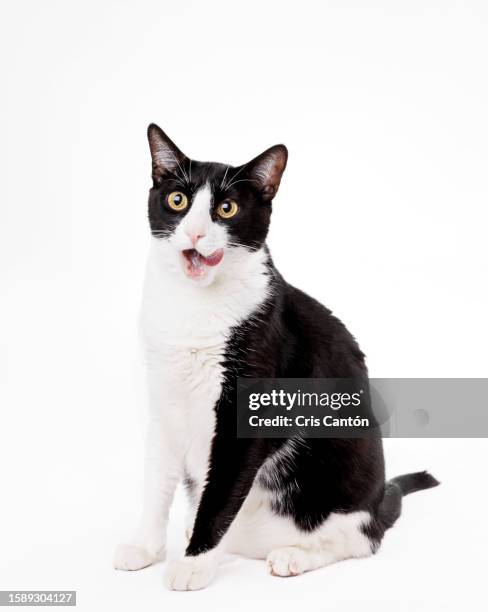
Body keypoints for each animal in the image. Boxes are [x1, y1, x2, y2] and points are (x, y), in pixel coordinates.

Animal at [113, 123, 438, 588]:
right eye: (177, 200)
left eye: (226, 208)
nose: (195, 233)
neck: (194, 305)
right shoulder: (163, 400)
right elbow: (157, 481)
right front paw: (146, 547)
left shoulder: (248, 408)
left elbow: (220, 494)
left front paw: (194, 564)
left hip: (348, 479)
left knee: (361, 539)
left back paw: (293, 555)